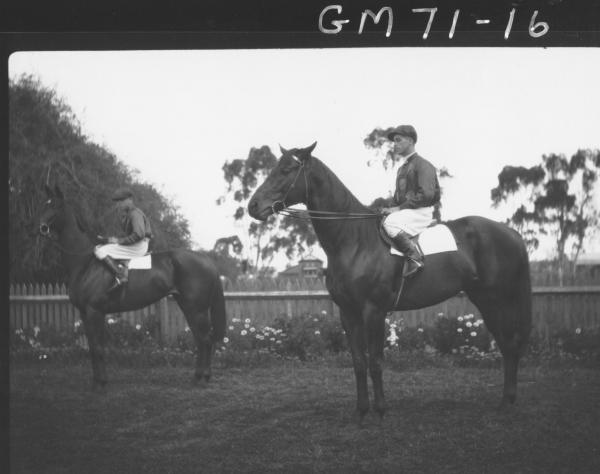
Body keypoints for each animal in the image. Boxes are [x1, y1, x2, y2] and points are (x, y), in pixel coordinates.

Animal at [39, 185, 227, 388]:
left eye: (56, 206)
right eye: (45, 204)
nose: (41, 227)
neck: (85, 263)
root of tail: (206, 259)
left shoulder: (95, 311)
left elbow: (98, 347)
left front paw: (101, 383)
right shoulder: (85, 312)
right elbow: (92, 347)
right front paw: (97, 381)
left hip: (196, 309)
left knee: (205, 339)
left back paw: (203, 377)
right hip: (188, 307)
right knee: (200, 339)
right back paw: (198, 376)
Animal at [247, 142, 528, 422]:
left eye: (287, 170)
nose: (253, 206)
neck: (354, 240)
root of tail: (511, 233)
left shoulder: (374, 311)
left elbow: (375, 362)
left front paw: (380, 410)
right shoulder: (348, 313)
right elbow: (359, 363)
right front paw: (361, 410)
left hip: (495, 300)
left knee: (509, 343)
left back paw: (506, 401)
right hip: (484, 298)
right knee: (508, 344)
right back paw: (508, 400)